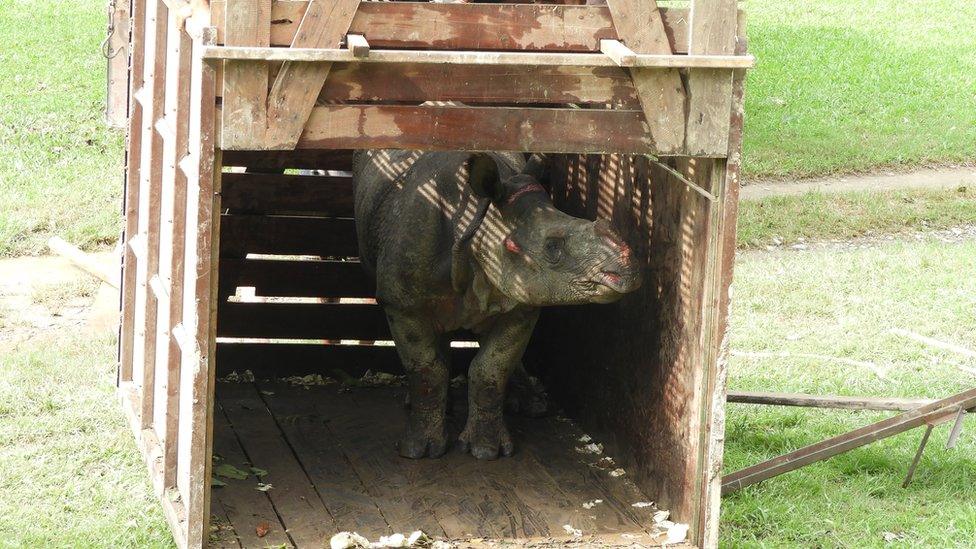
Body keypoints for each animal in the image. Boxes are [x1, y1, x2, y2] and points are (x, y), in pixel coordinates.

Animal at [350, 150, 640, 458]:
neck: (478, 220)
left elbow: (491, 369)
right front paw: (421, 450)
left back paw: (531, 405)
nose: (628, 271)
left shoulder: (523, 303)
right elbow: (427, 369)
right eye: (552, 247)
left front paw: (487, 450)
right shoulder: (400, 303)